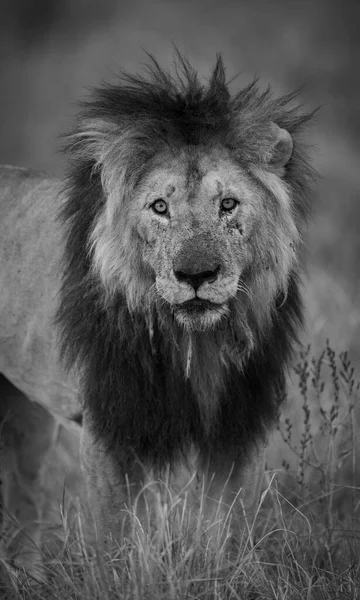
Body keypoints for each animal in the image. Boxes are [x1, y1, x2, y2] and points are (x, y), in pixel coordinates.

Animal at [0, 52, 316, 564]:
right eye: (160, 207)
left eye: (229, 204)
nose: (196, 274)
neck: (196, 343)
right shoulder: (112, 425)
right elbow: (116, 539)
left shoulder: (235, 427)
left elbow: (223, 531)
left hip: (24, 414)